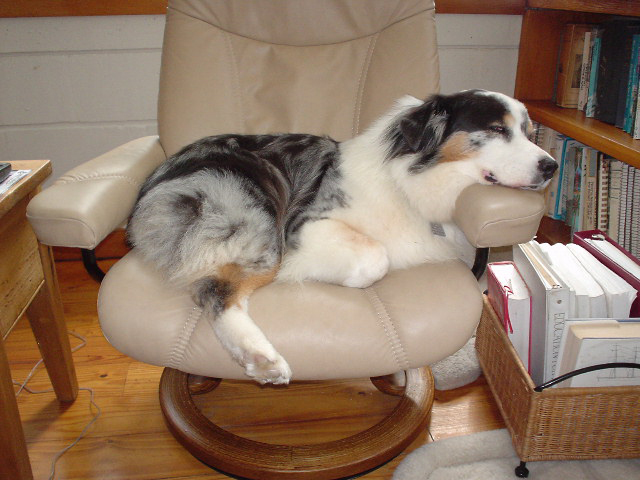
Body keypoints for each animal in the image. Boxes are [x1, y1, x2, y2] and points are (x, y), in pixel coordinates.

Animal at [126, 89, 556, 382]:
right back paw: (262, 358)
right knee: (215, 291)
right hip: (258, 213)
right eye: (497, 129)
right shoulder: (306, 224)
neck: (407, 184)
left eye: (529, 132)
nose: (551, 166)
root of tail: (148, 193)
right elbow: (374, 257)